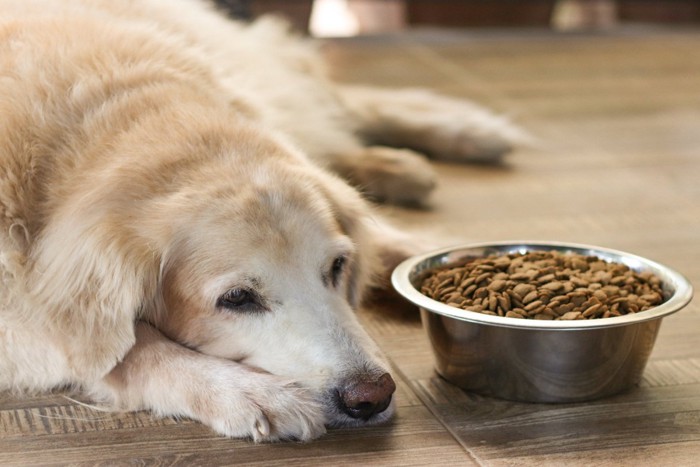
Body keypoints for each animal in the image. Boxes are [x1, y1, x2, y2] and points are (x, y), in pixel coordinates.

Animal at [0, 0, 524, 442]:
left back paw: (459, 133)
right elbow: (128, 349)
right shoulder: (24, 315)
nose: (371, 397)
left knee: (331, 104)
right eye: (236, 299)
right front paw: (246, 392)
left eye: (337, 268)